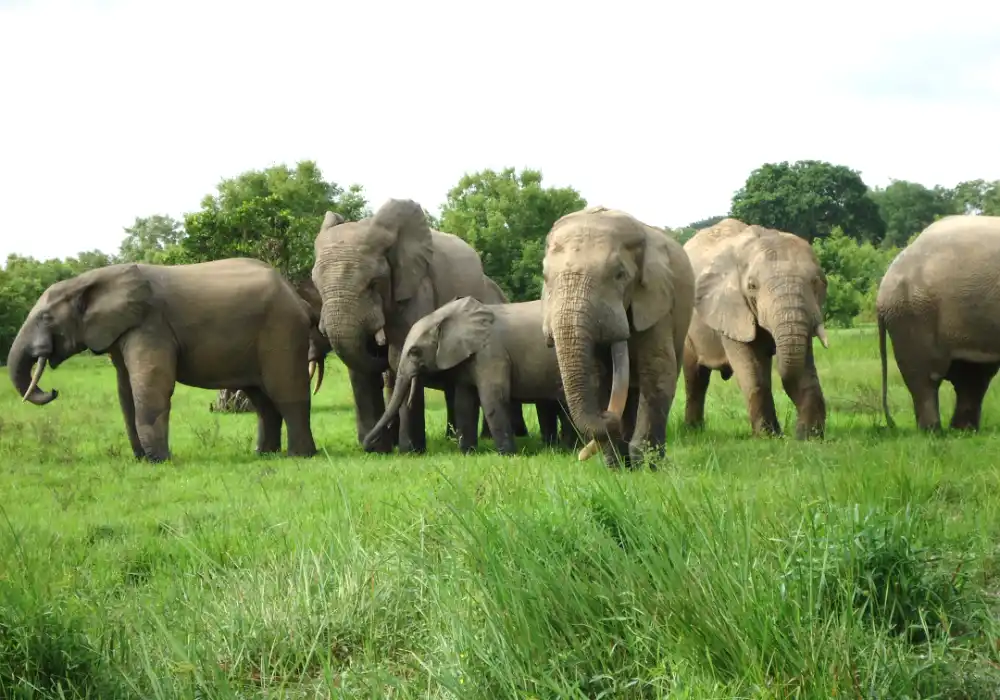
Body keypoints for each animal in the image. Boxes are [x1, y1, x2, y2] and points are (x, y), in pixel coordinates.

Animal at [7, 258, 318, 461]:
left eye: (46, 317)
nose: (53, 390)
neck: (88, 280)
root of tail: (297, 297)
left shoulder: (151, 324)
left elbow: (151, 384)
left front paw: (159, 460)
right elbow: (125, 391)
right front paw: (142, 460)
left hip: (282, 329)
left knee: (285, 392)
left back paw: (299, 456)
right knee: (262, 400)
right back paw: (264, 455)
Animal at [311, 198, 497, 454]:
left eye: (373, 283)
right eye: (316, 284)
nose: (367, 444)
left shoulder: (417, 287)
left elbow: (400, 356)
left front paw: (409, 451)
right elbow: (359, 369)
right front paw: (377, 450)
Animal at [362, 296, 581, 455]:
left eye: (415, 352)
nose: (367, 446)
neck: (448, 316)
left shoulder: (490, 351)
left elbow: (492, 397)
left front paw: (508, 455)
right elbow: (464, 402)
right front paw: (468, 453)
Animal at [540, 205, 696, 468]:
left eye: (620, 275)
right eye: (544, 277)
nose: (607, 416)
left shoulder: (657, 303)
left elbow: (656, 372)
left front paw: (646, 466)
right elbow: (599, 377)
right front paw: (616, 467)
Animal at [682, 218, 830, 439]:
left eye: (816, 282)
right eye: (752, 286)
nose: (797, 433)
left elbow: (803, 368)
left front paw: (809, 437)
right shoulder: (730, 310)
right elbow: (752, 372)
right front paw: (768, 437)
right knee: (696, 379)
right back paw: (694, 431)